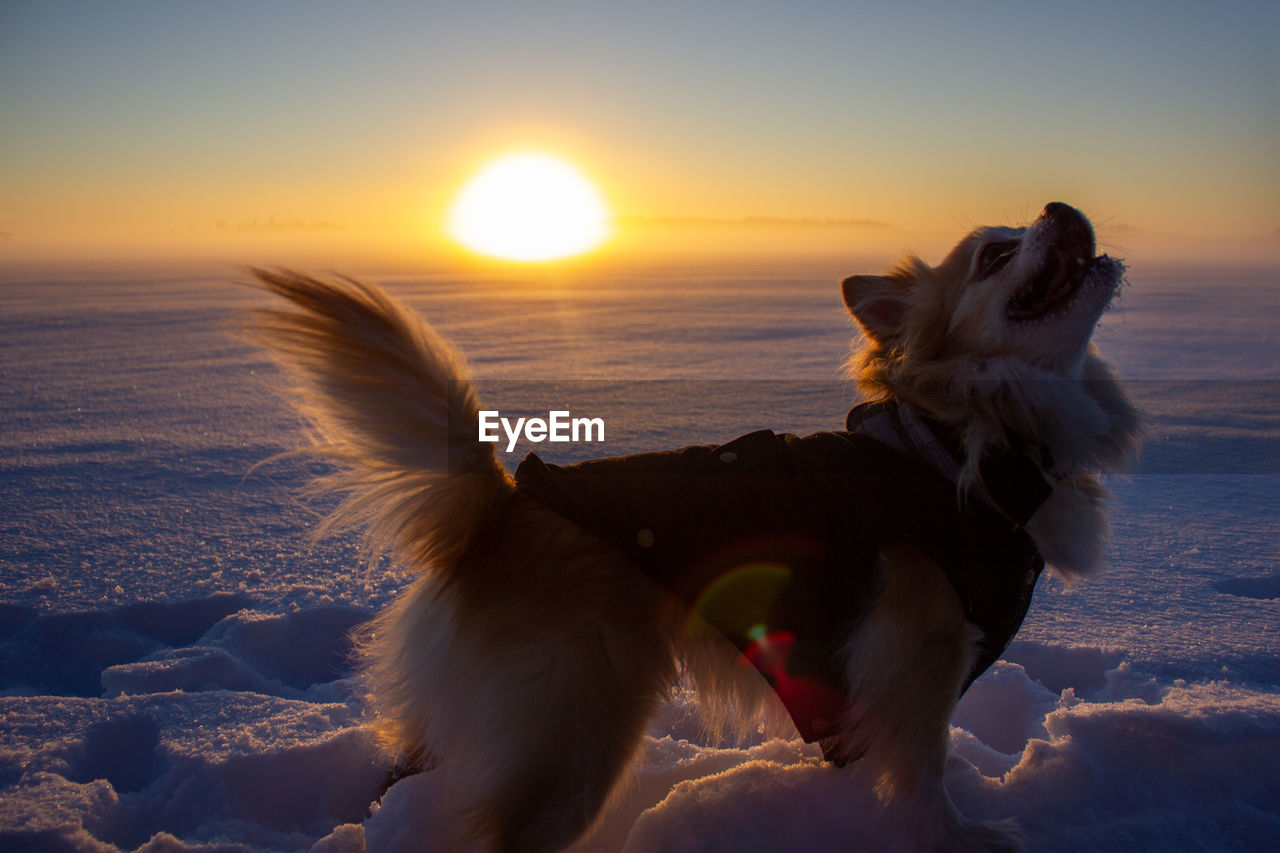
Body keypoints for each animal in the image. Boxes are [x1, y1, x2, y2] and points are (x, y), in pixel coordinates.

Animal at [247, 202, 1141, 845]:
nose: (1062, 205)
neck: (956, 438)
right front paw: (962, 836)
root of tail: (506, 501)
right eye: (996, 253)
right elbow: (925, 771)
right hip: (576, 733)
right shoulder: (916, 654)